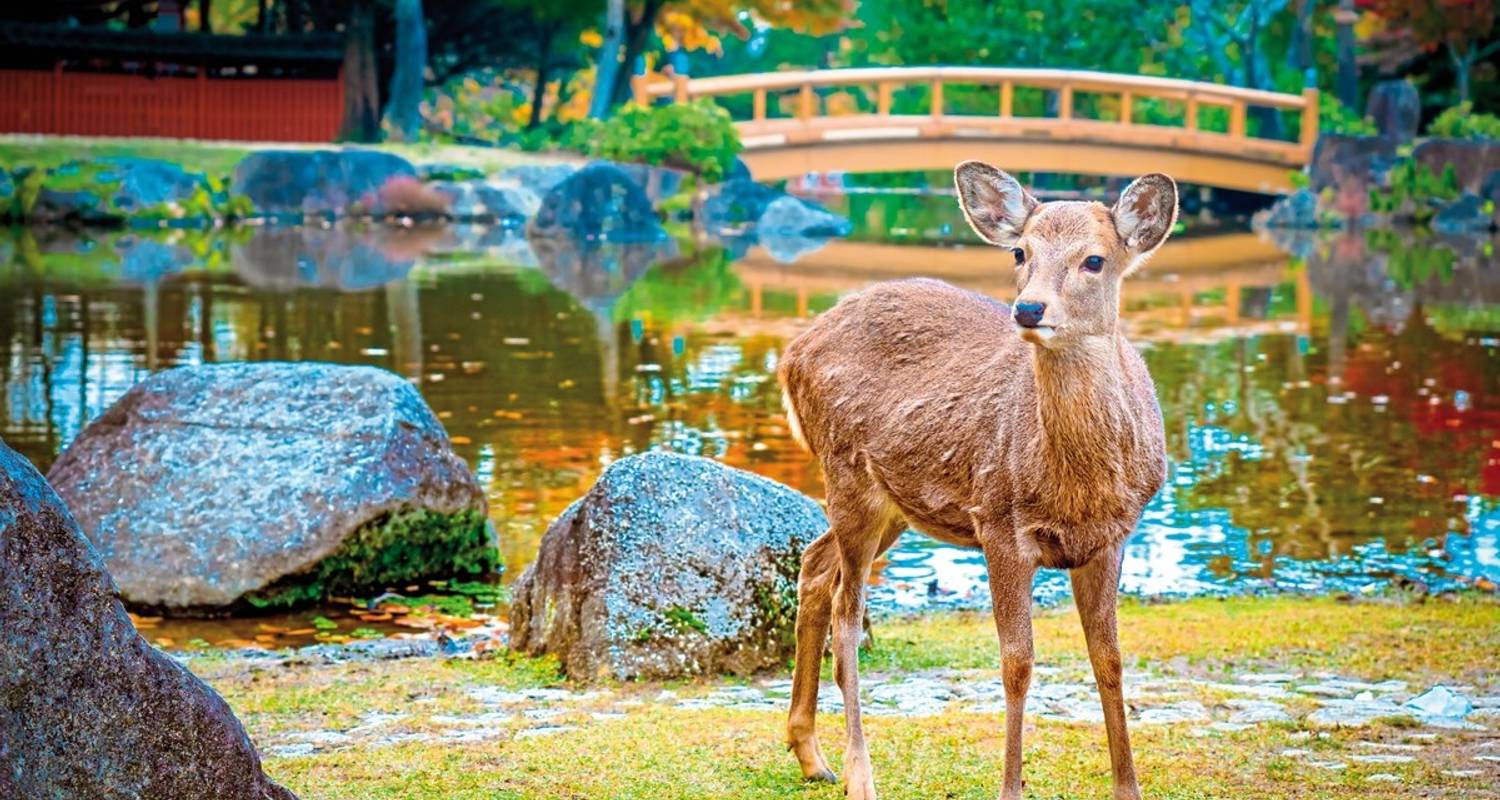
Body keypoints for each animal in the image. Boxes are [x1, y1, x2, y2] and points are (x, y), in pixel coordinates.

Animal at [780, 162, 1176, 798]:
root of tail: (790, 354)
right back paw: (859, 774)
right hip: (846, 473)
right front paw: (1011, 786)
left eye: (1095, 259)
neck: (1077, 485)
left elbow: (1109, 658)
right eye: (1021, 251)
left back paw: (811, 755)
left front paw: (1128, 788)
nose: (1030, 309)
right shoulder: (998, 524)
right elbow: (1017, 662)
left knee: (815, 566)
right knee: (848, 612)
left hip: (893, 504)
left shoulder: (1113, 534)